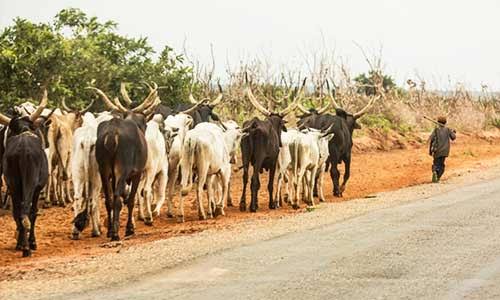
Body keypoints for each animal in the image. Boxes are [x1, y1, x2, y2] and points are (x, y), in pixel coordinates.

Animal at [238, 78, 304, 212]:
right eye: (281, 126)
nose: (280, 143)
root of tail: (253, 125)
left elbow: (258, 184)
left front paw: (257, 202)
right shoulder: (273, 162)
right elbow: (269, 183)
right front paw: (271, 204)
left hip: (245, 156)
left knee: (245, 178)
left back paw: (243, 204)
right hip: (259, 158)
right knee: (253, 179)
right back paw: (252, 207)